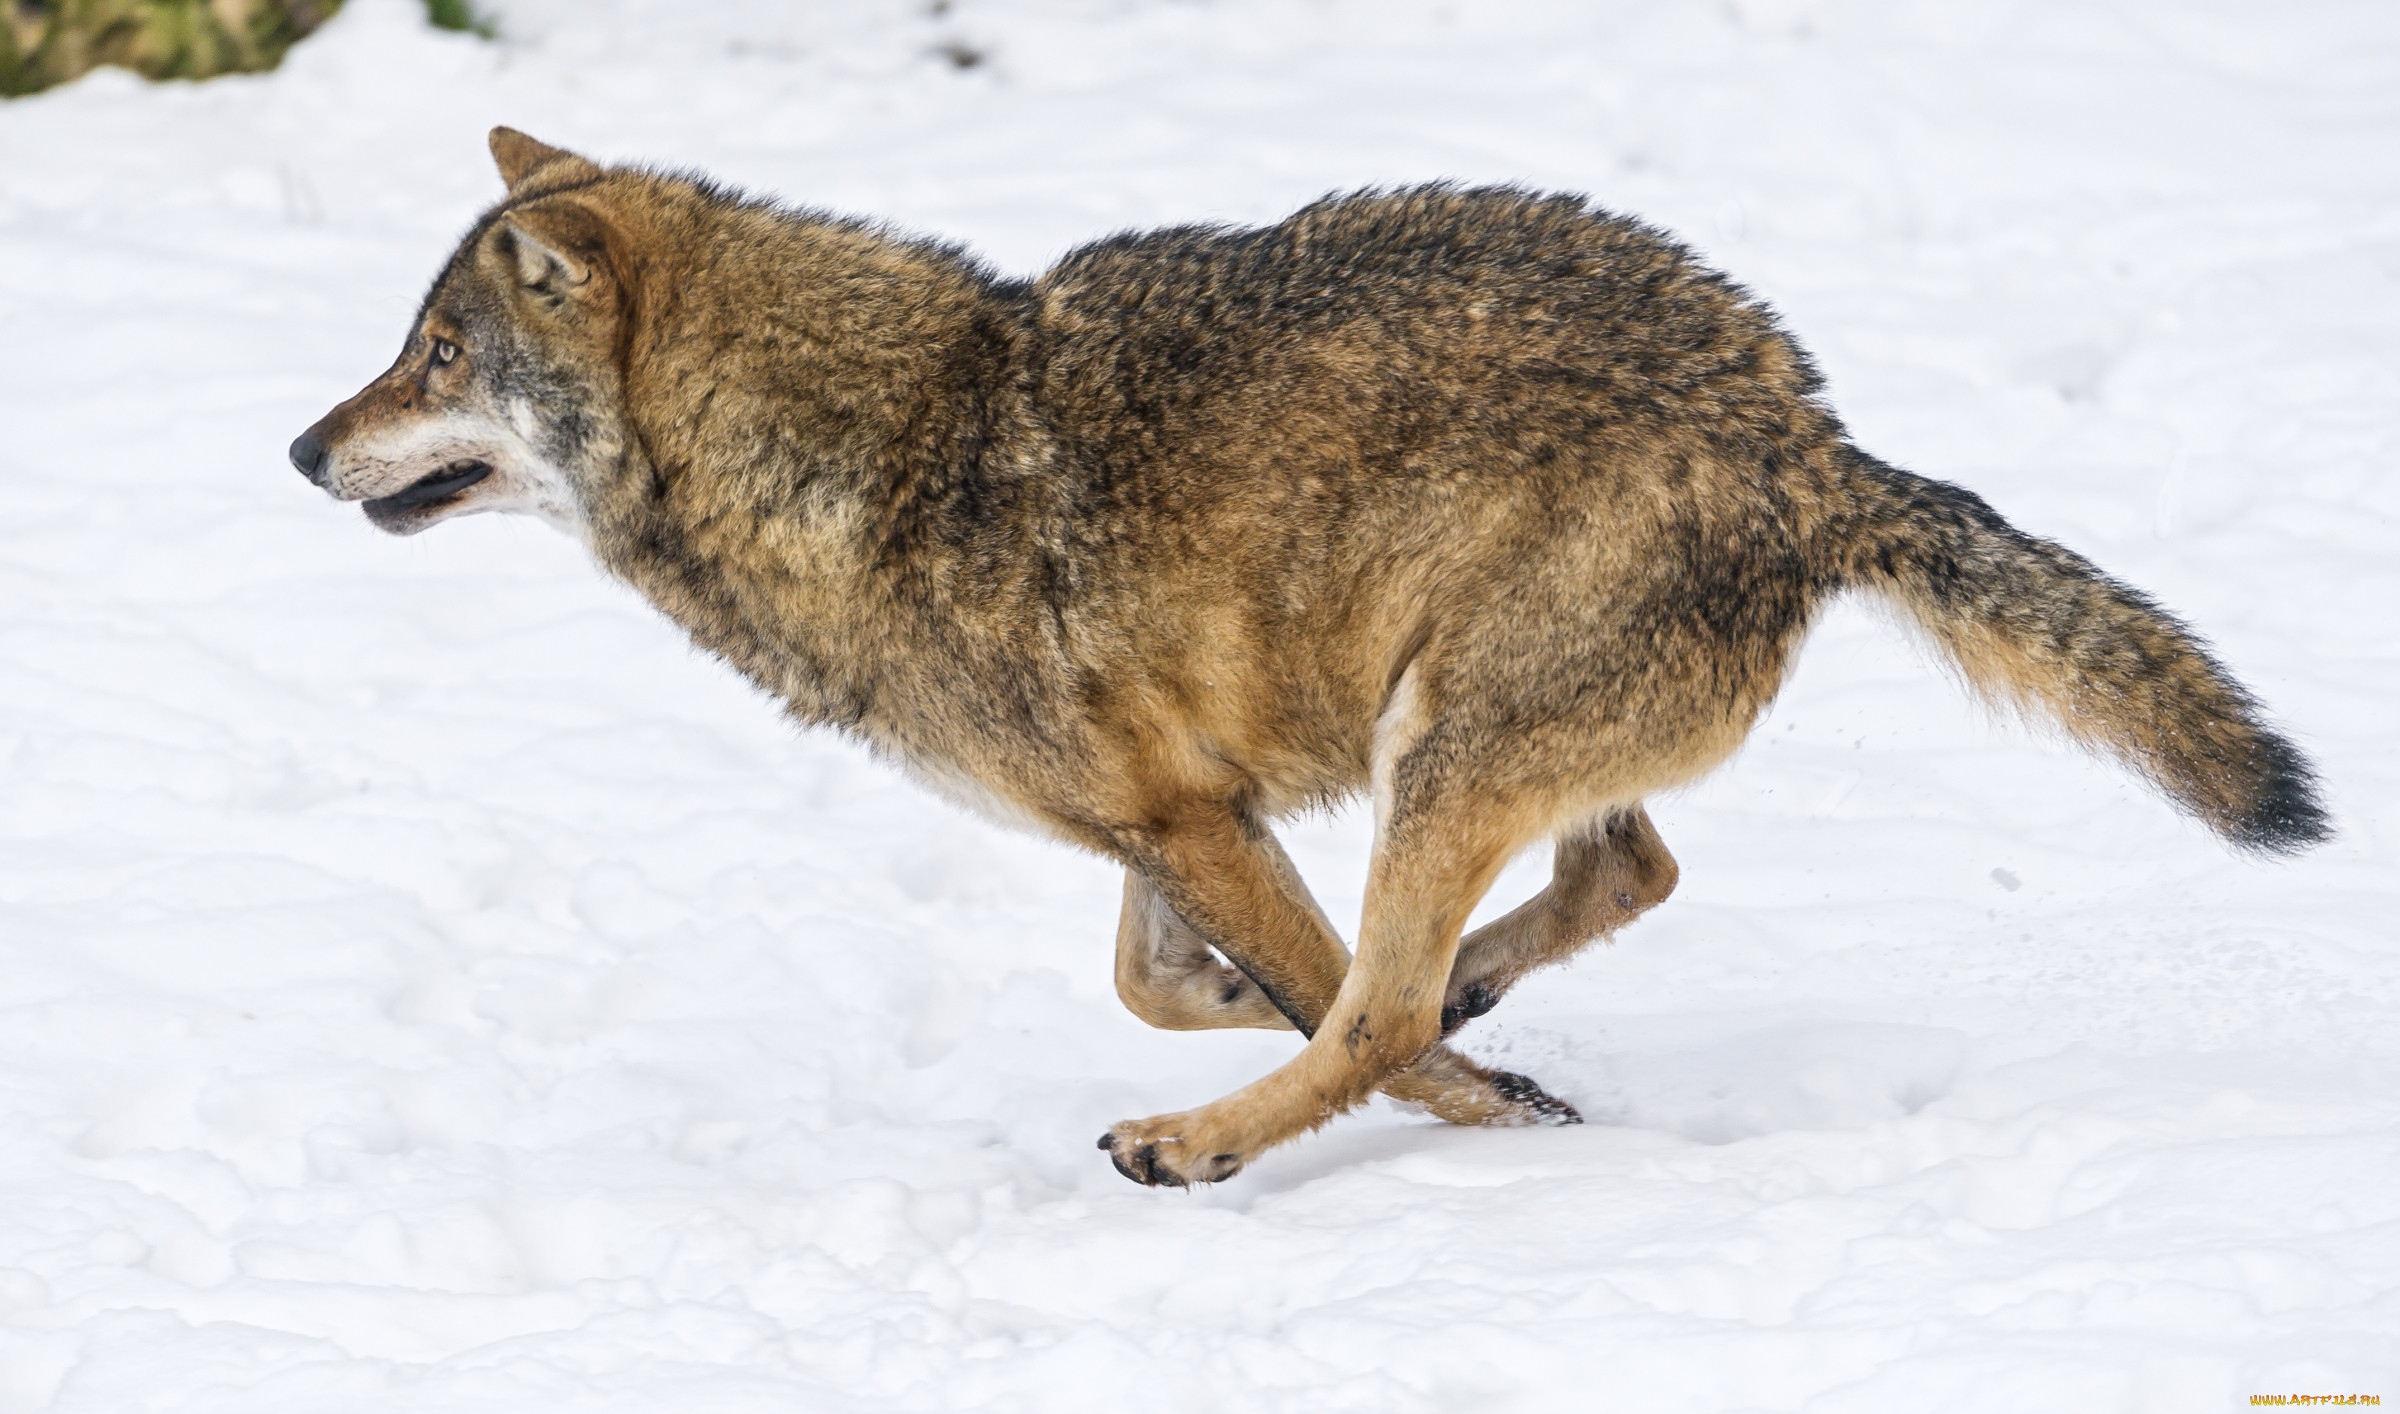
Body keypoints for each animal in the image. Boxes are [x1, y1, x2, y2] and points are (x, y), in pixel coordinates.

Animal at [290, 132, 2332, 1185]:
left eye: (436, 353)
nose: (302, 449)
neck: (862, 454)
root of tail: (1813, 442)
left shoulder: (1187, 817)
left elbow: (1330, 1004)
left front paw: (1470, 1103)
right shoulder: (1174, 816)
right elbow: (1178, 977)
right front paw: (1442, 1056)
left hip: (1443, 739)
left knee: (1401, 994)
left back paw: (1203, 1143)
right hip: (1477, 746)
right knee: (1611, 876)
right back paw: (1470, 998)